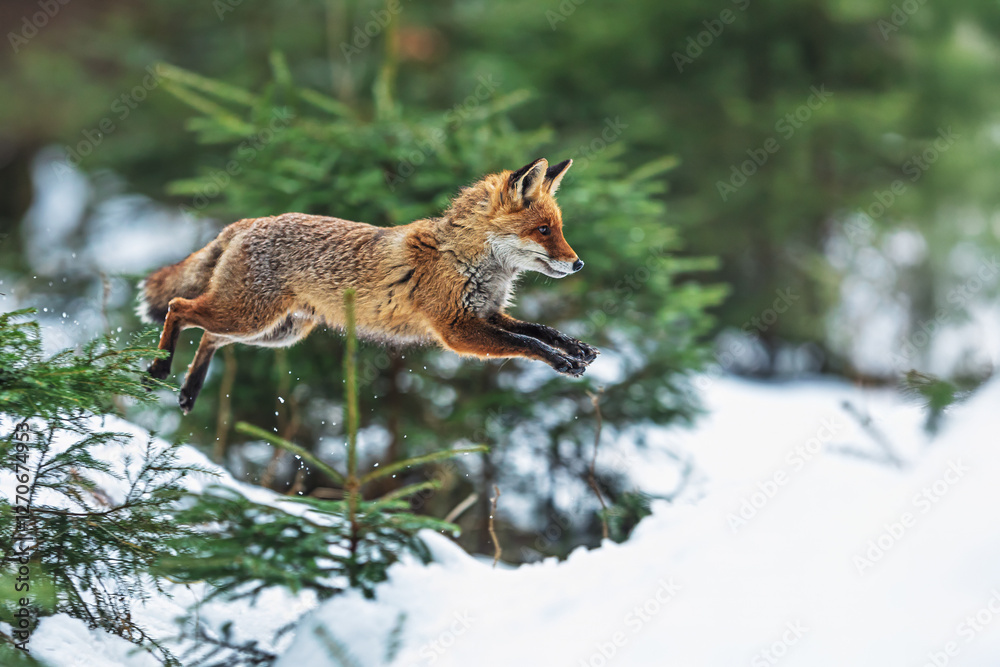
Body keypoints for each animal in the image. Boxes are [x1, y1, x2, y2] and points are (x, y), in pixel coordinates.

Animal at [138, 157, 598, 414]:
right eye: (543, 230)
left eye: (558, 229)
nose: (578, 263)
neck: (465, 260)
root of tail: (250, 221)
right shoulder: (457, 330)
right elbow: (527, 344)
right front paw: (562, 361)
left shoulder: (486, 313)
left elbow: (537, 330)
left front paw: (574, 348)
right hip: (249, 318)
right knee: (178, 307)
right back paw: (158, 369)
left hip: (274, 332)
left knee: (208, 336)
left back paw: (189, 391)